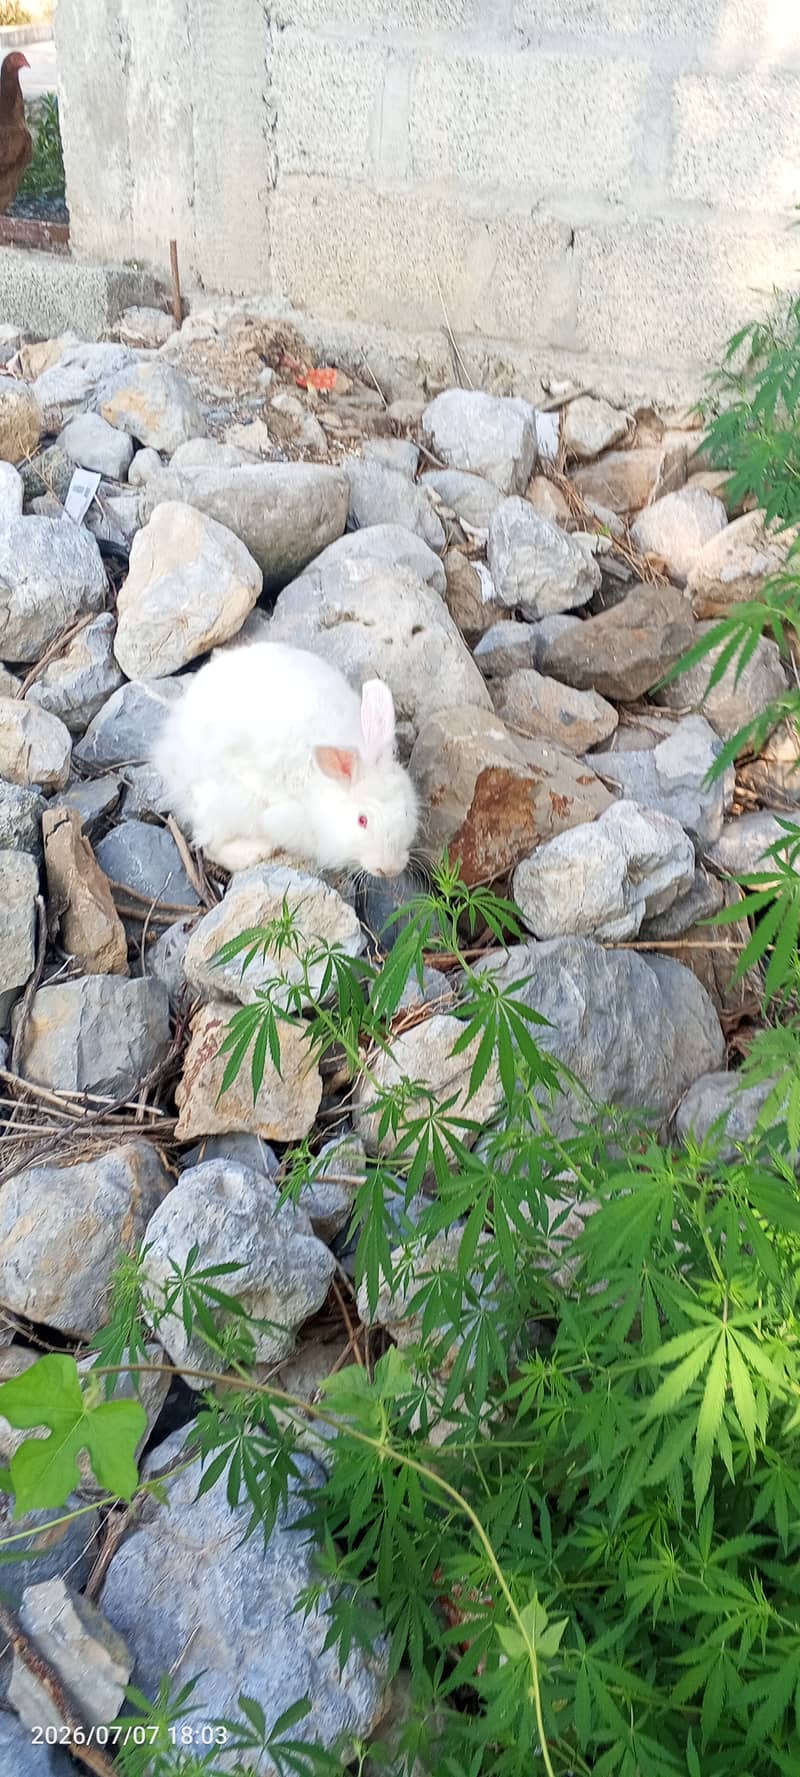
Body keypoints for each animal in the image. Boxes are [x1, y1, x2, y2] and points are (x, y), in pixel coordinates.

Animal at [153, 640, 419, 878]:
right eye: (362, 820)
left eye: (405, 812)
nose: (389, 869)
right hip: (227, 803)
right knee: (209, 844)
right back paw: (256, 852)